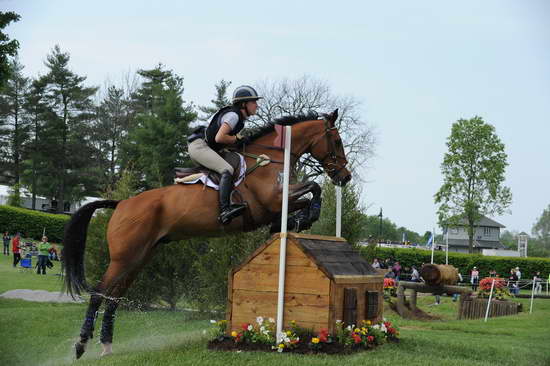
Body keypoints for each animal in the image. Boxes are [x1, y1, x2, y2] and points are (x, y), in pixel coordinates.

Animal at [61, 108, 354, 358]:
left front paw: (298, 221)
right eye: (337, 141)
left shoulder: (278, 203)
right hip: (123, 258)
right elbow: (314, 186)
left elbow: (307, 195)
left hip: (139, 258)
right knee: (99, 294)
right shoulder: (273, 200)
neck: (271, 158)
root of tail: (121, 203)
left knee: (114, 298)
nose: (345, 177)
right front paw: (304, 218)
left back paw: (107, 346)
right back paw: (81, 345)